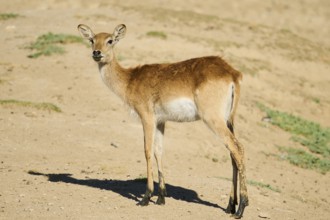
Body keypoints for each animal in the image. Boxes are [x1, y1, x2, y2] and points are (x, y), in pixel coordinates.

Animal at [76, 23, 248, 217]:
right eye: (92, 40)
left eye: (110, 40)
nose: (96, 53)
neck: (130, 80)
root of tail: (232, 73)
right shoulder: (161, 121)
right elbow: (159, 151)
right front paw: (161, 198)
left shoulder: (147, 118)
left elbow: (147, 151)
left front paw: (145, 197)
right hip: (228, 120)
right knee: (233, 153)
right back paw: (230, 206)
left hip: (213, 120)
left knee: (237, 148)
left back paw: (241, 208)